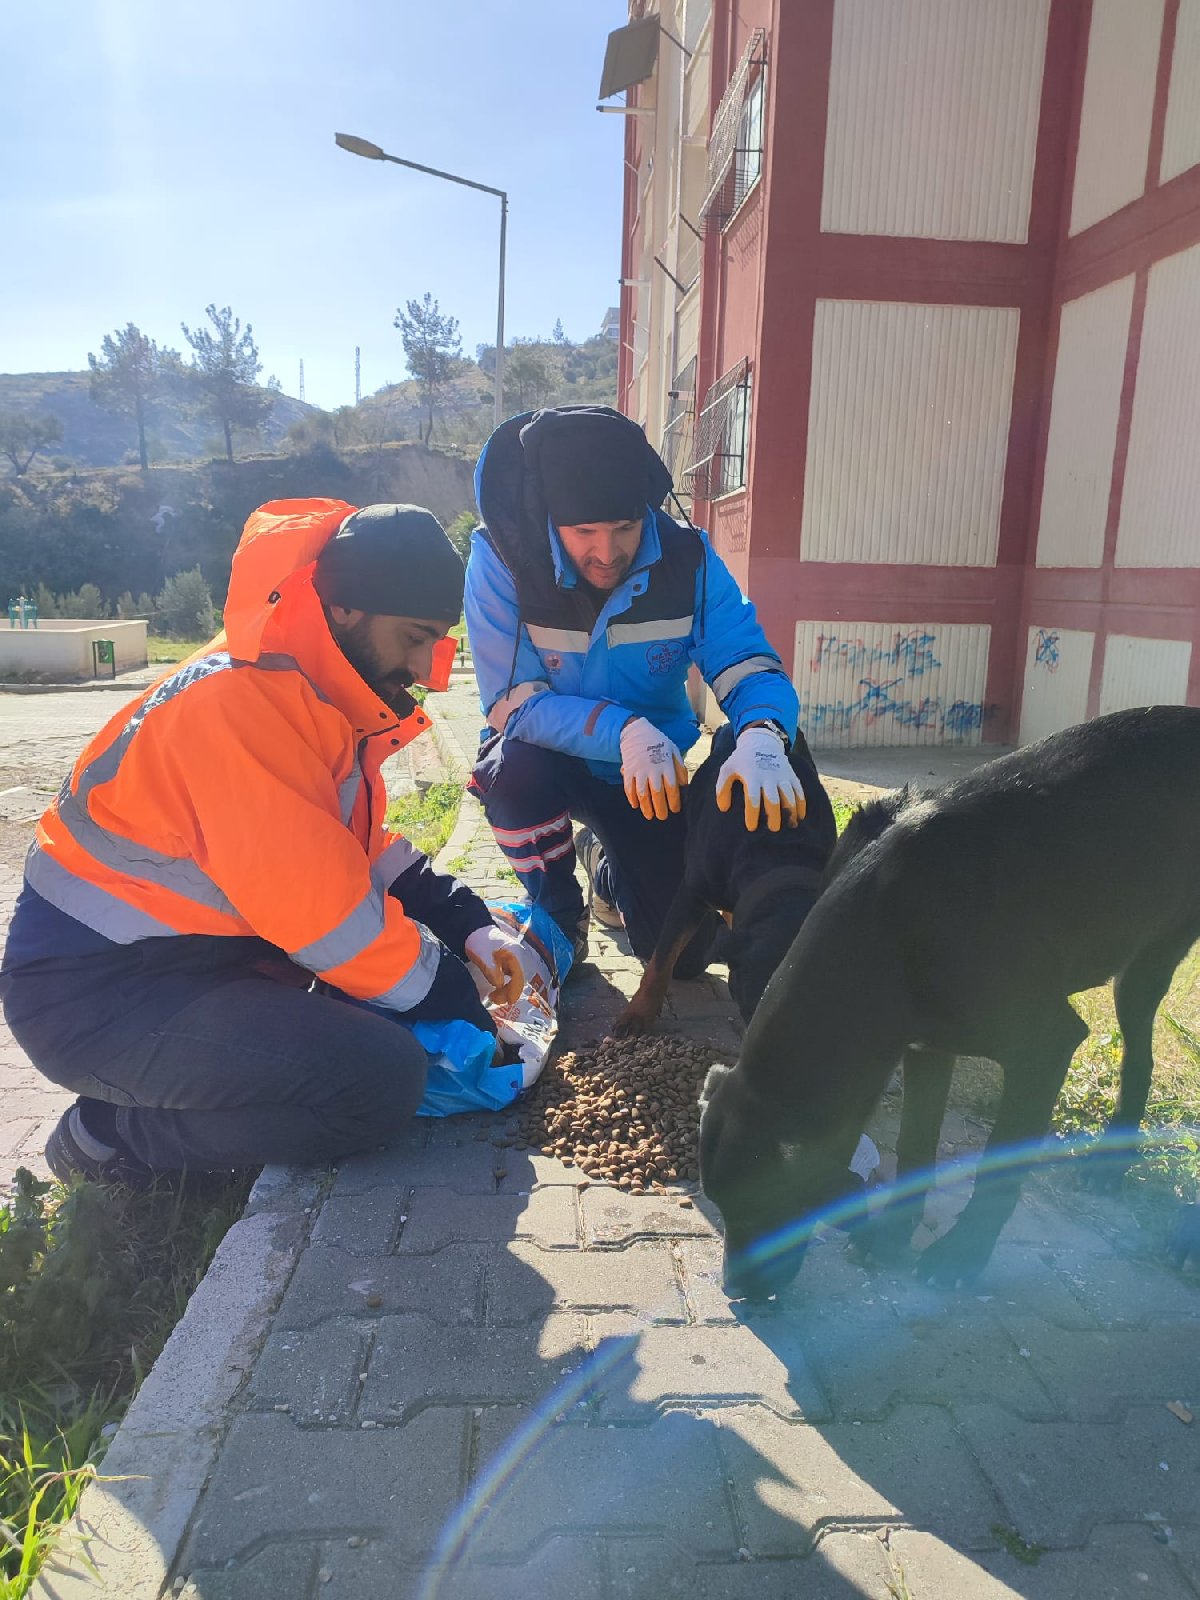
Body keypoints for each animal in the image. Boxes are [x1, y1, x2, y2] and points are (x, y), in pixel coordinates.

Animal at [700, 705, 1200, 1300]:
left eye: (760, 1208)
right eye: (719, 1206)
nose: (734, 1292)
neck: (891, 923)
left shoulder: (1045, 1045)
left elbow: (997, 1169)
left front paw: (962, 1253)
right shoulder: (924, 1046)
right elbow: (916, 1145)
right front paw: (892, 1237)